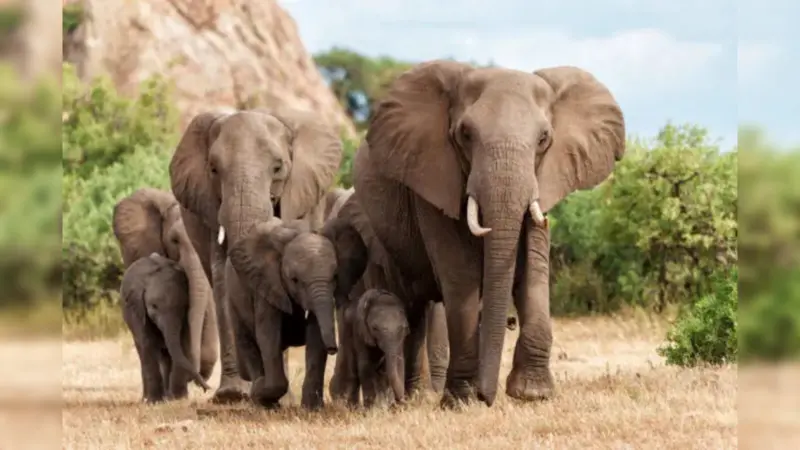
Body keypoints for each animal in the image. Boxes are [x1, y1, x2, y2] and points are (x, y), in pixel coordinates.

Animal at [120, 252, 214, 403]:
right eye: (154, 306)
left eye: (183, 307)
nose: (207, 389)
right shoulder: (136, 308)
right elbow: (147, 343)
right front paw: (154, 402)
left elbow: (181, 343)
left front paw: (177, 399)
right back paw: (149, 398)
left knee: (166, 355)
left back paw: (167, 397)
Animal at [226, 217, 339, 409]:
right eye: (295, 280)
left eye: (335, 277)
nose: (333, 349)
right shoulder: (266, 283)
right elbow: (268, 336)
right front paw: (260, 391)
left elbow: (315, 335)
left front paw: (312, 409)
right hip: (233, 298)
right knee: (247, 342)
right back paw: (260, 396)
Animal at [353, 60, 626, 407]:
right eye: (465, 134)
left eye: (543, 138)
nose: (488, 396)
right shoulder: (433, 179)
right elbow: (461, 272)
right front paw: (462, 400)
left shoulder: (543, 178)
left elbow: (533, 269)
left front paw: (532, 394)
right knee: (411, 306)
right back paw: (408, 399)